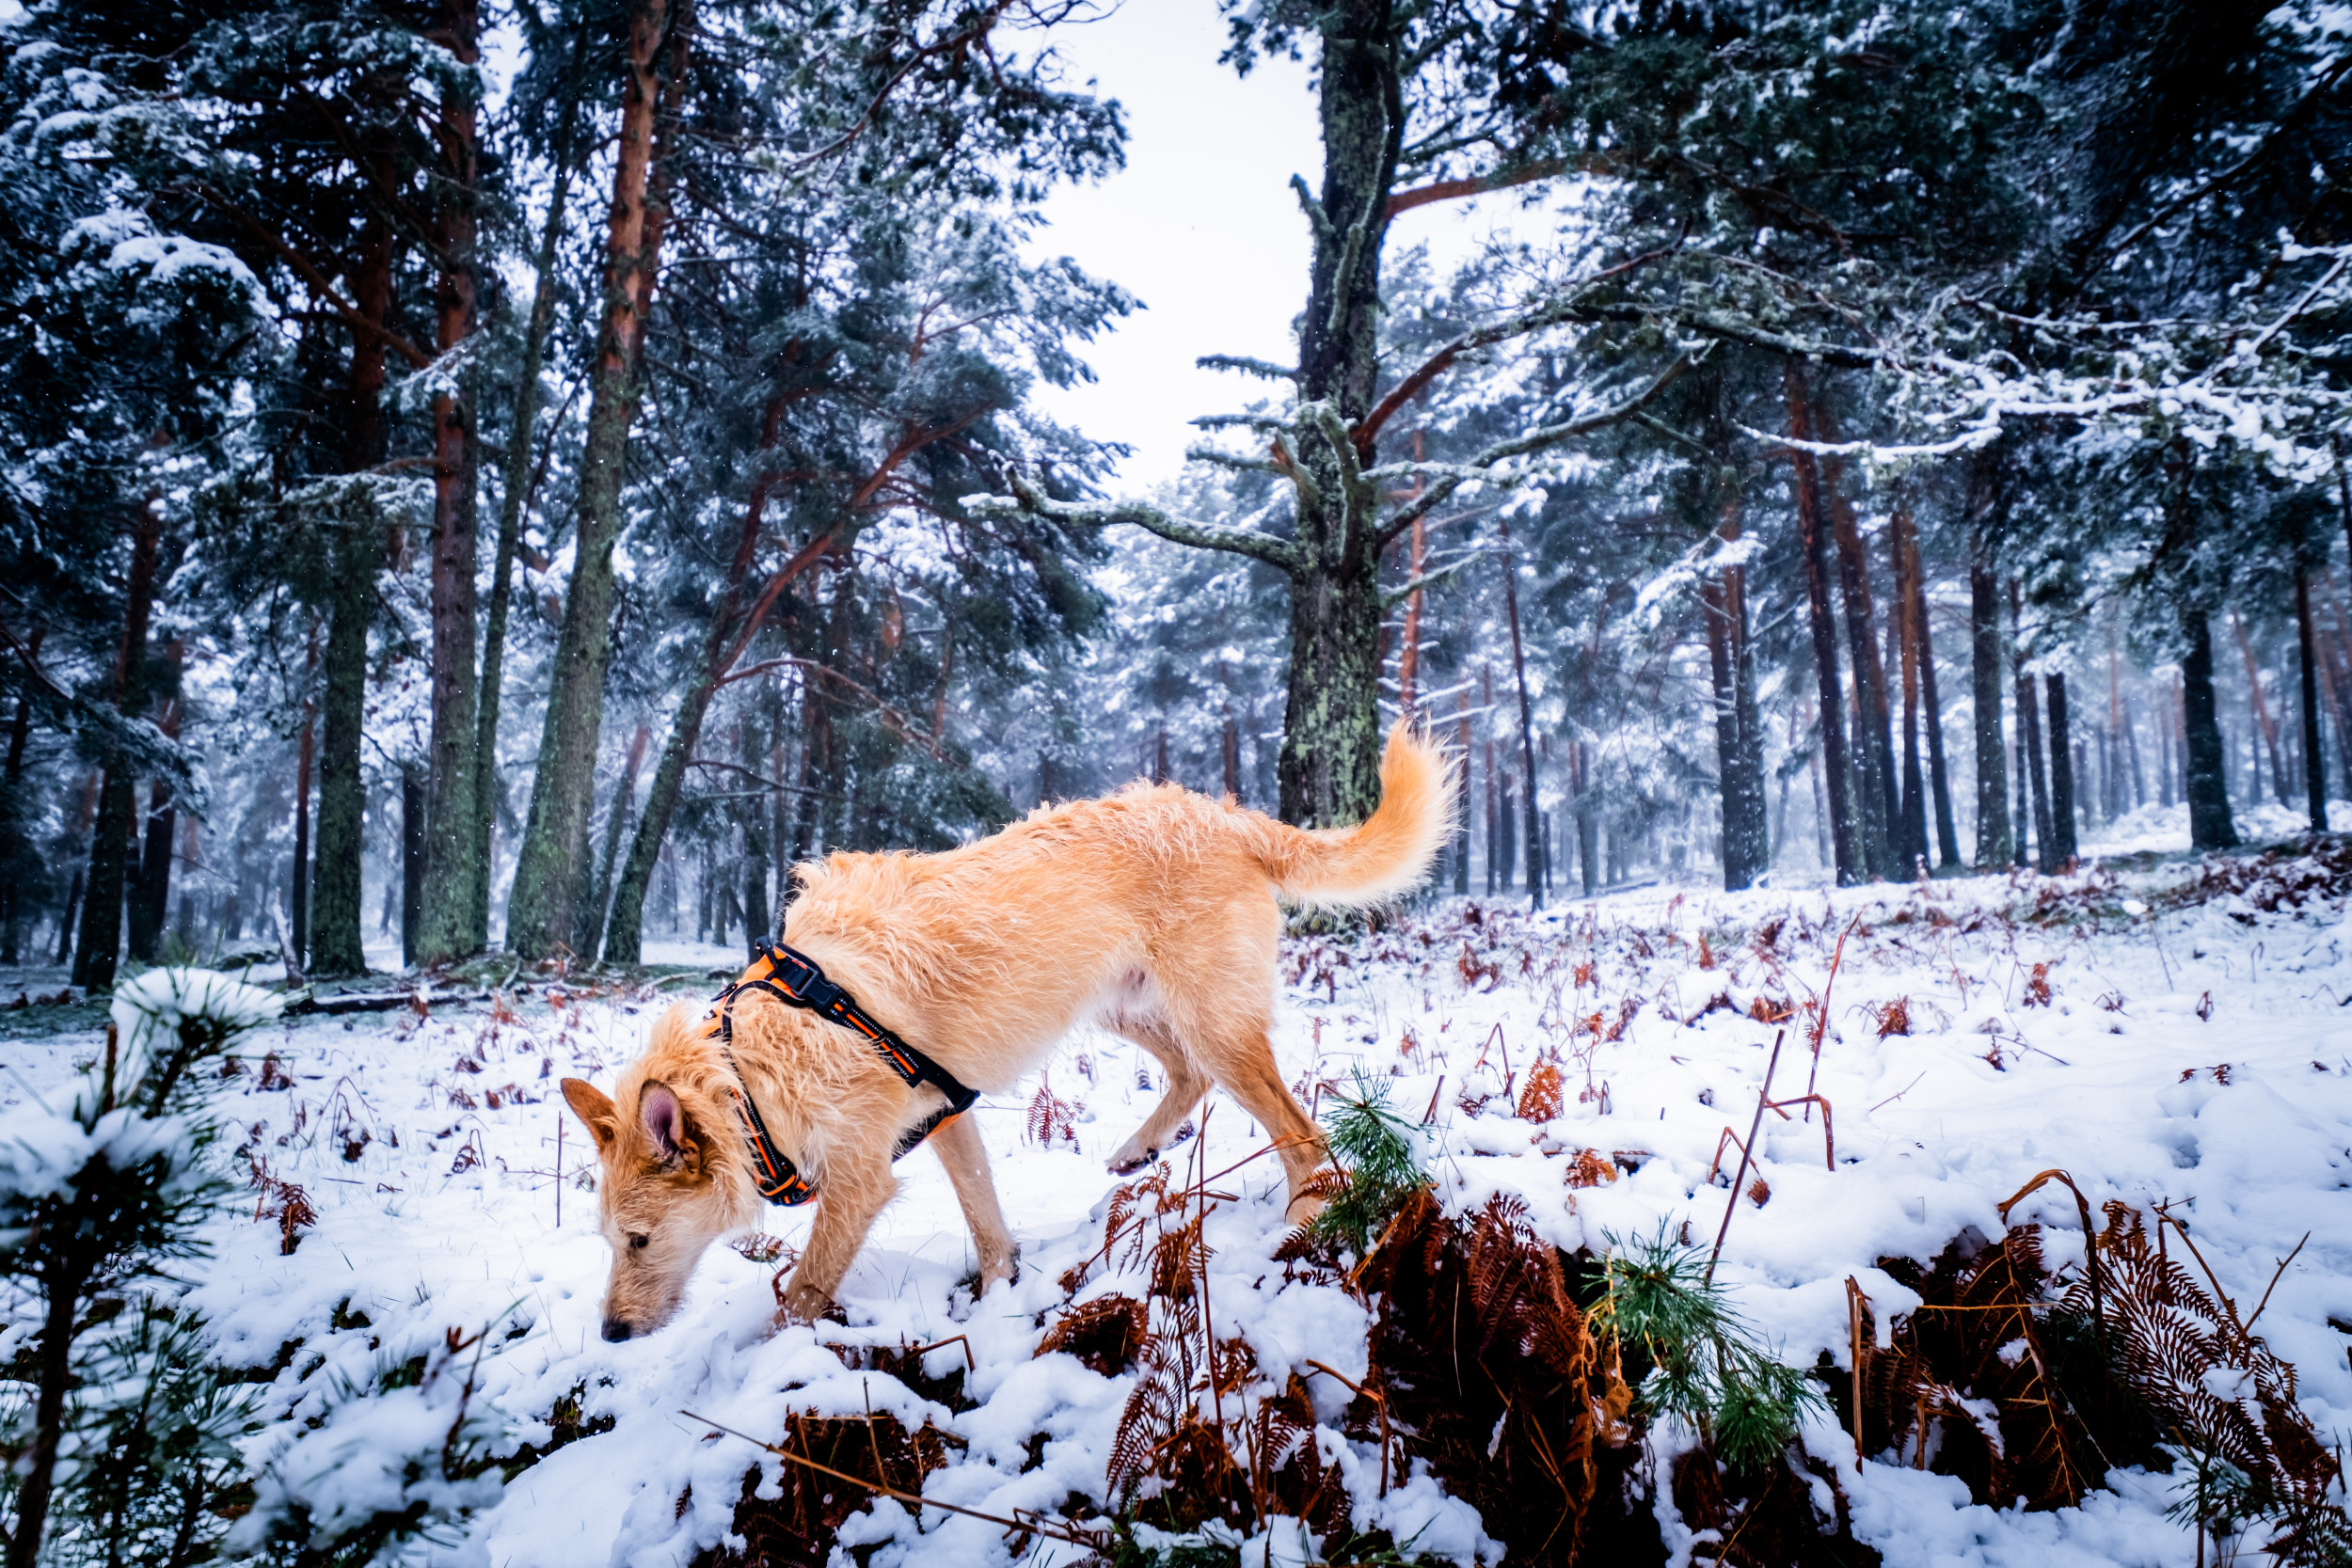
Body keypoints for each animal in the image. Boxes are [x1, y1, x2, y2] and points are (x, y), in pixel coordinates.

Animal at [569, 728, 1449, 1344]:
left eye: (640, 1240)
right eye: (609, 1241)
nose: (610, 1332)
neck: (749, 1072)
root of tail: (1221, 814)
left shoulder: (859, 1184)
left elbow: (805, 1293)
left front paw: (762, 1360)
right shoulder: (945, 1117)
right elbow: (986, 1222)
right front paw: (1000, 1297)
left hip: (1212, 1022)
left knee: (1302, 1134)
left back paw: (1302, 1219)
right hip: (1121, 1008)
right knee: (1189, 1076)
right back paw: (1140, 1147)